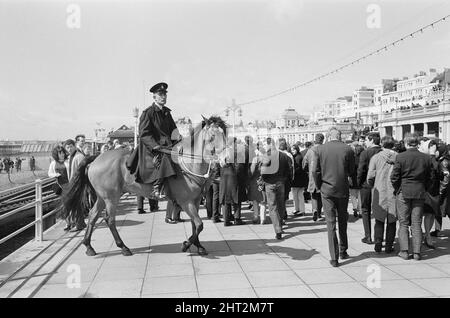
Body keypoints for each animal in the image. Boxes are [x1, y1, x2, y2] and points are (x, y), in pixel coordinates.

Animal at [61, 115, 227, 258]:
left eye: (225, 134)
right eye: (212, 136)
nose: (225, 159)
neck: (190, 164)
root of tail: (96, 158)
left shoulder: (196, 200)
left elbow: (195, 224)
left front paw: (198, 246)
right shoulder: (185, 201)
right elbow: (199, 224)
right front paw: (186, 244)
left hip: (102, 197)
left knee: (93, 215)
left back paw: (89, 246)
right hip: (111, 197)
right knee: (110, 219)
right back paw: (123, 247)